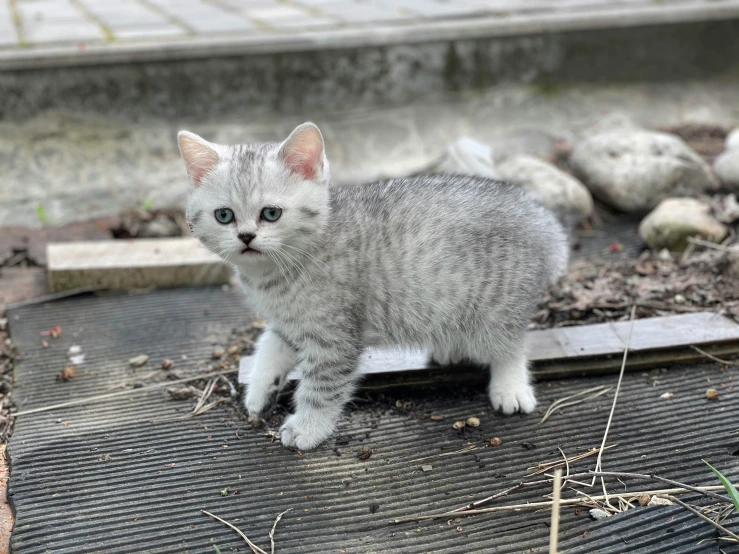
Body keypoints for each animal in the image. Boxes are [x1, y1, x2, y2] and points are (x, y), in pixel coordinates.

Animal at [178, 122, 568, 448]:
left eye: (271, 213)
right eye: (224, 215)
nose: (245, 237)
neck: (274, 276)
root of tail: (540, 215)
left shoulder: (334, 339)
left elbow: (320, 389)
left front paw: (307, 428)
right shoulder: (290, 324)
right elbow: (269, 347)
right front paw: (260, 390)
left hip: (497, 305)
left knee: (510, 347)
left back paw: (510, 387)